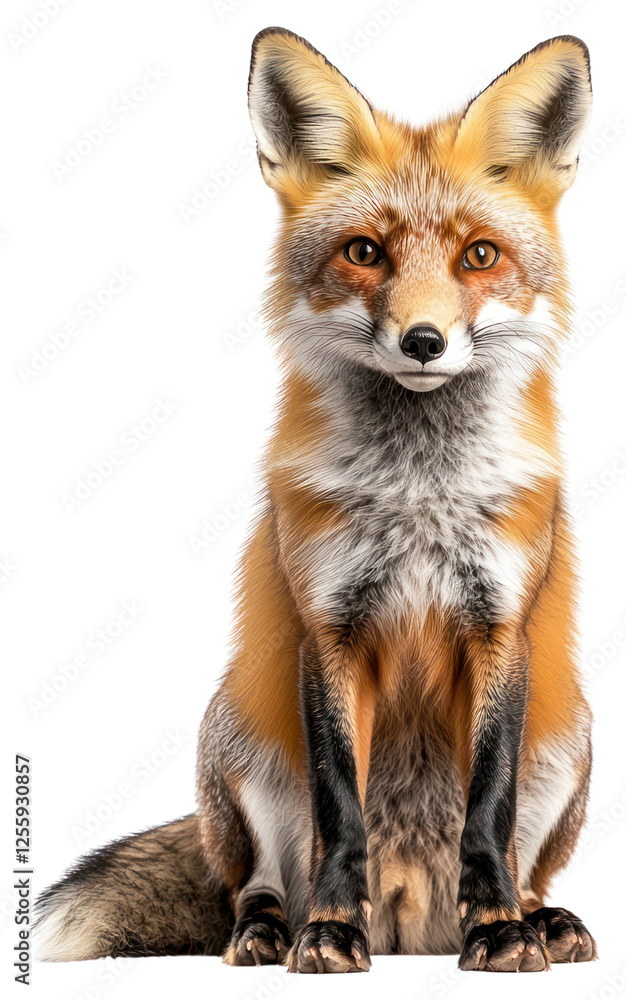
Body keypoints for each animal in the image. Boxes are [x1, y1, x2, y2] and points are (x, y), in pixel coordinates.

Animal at [36, 28, 597, 974]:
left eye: (480, 255)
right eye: (365, 253)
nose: (423, 340)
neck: (418, 491)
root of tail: (412, 924)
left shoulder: (500, 627)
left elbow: (489, 805)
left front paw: (498, 929)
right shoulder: (329, 626)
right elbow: (342, 807)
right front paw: (332, 929)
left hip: (576, 737)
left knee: (526, 862)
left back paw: (540, 919)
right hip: (236, 741)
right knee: (254, 880)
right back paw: (271, 929)